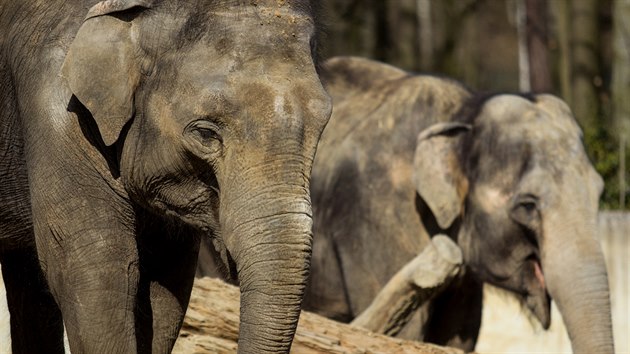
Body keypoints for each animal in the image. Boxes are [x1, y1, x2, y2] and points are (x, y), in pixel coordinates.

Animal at [304, 56, 616, 352]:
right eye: (528, 205)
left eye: (598, 193)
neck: (463, 113)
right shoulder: (379, 219)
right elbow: (404, 334)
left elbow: (456, 339)